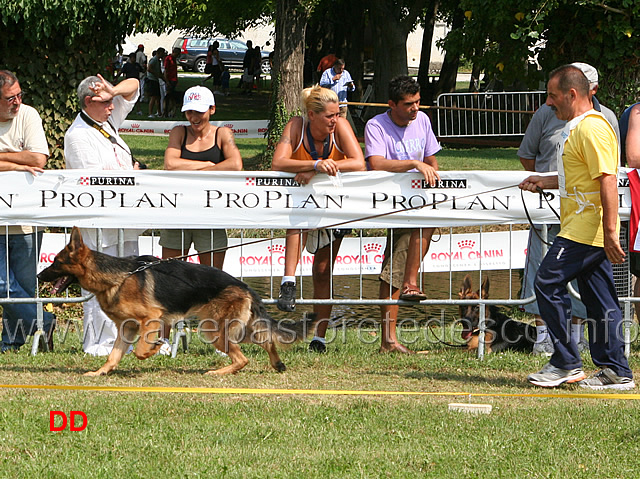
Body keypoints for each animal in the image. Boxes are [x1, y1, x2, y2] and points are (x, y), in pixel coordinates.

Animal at [37, 227, 318, 376]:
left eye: (56, 263)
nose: (39, 276)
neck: (117, 276)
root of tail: (244, 286)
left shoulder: (150, 319)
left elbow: (139, 350)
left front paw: (153, 349)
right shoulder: (127, 328)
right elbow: (114, 355)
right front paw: (100, 373)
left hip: (213, 329)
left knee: (242, 358)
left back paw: (217, 372)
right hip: (236, 328)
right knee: (266, 340)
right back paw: (277, 364)